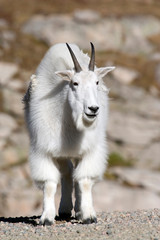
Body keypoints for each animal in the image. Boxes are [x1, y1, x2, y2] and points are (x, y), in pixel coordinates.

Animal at [23, 43, 114, 225]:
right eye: (75, 83)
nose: (93, 109)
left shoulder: (90, 150)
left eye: (97, 82)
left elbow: (85, 180)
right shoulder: (44, 150)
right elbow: (49, 184)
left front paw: (88, 215)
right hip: (61, 154)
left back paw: (78, 210)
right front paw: (46, 217)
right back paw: (65, 209)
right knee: (68, 172)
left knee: (76, 175)